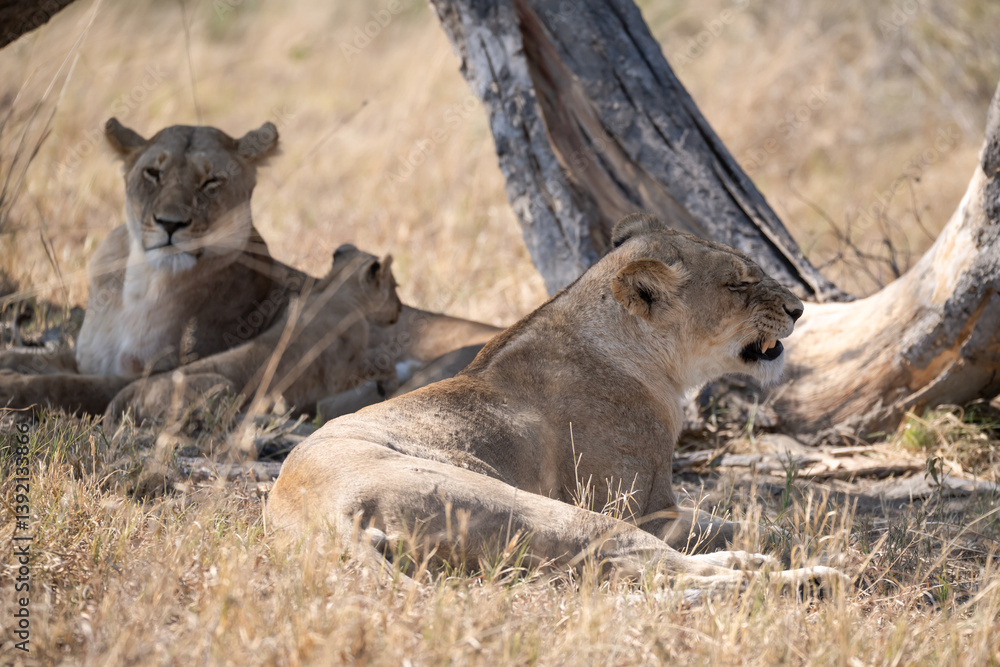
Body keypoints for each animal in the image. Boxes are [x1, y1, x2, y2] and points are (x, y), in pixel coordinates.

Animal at [0, 119, 500, 417]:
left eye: (212, 181)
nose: (170, 224)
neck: (137, 283)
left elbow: (68, 387)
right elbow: (36, 359)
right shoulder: (85, 355)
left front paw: (14, 390)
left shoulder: (152, 370)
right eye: (152, 173)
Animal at [266, 213, 847, 592]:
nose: (799, 308)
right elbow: (730, 521)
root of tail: (325, 517)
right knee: (675, 575)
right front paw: (797, 538)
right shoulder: (643, 507)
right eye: (738, 284)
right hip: (547, 512)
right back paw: (809, 576)